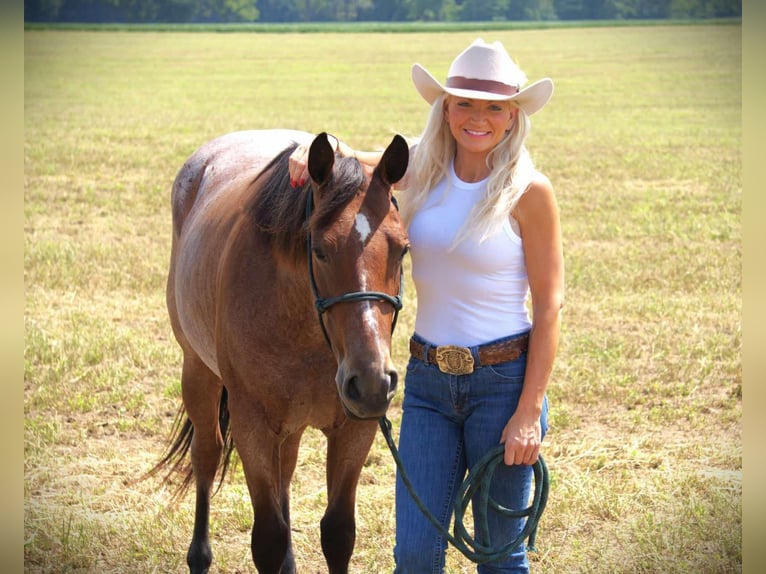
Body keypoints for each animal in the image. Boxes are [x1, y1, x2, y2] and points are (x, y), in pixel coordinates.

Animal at [152, 129, 410, 574]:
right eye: (319, 249)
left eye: (402, 249)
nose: (371, 382)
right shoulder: (251, 424)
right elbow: (268, 539)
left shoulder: (355, 429)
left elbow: (338, 533)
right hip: (198, 372)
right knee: (207, 455)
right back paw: (199, 556)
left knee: (285, 468)